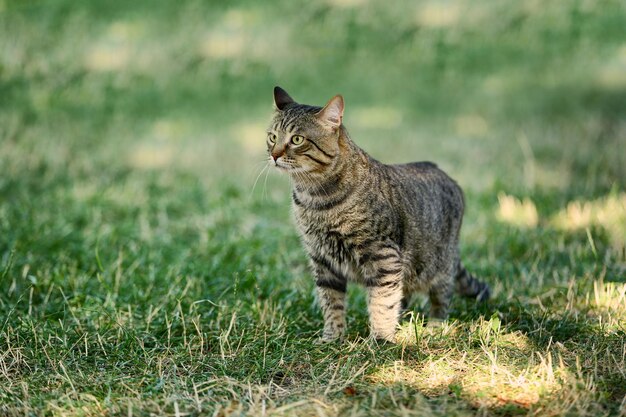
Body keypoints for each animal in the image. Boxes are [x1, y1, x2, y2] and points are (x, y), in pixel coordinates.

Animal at [264, 85, 488, 342]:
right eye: (272, 137)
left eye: (297, 139)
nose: (274, 155)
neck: (314, 200)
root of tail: (444, 173)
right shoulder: (322, 260)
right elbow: (331, 302)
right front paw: (333, 336)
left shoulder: (383, 257)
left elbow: (382, 302)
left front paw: (380, 339)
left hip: (440, 269)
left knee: (441, 300)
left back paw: (434, 326)